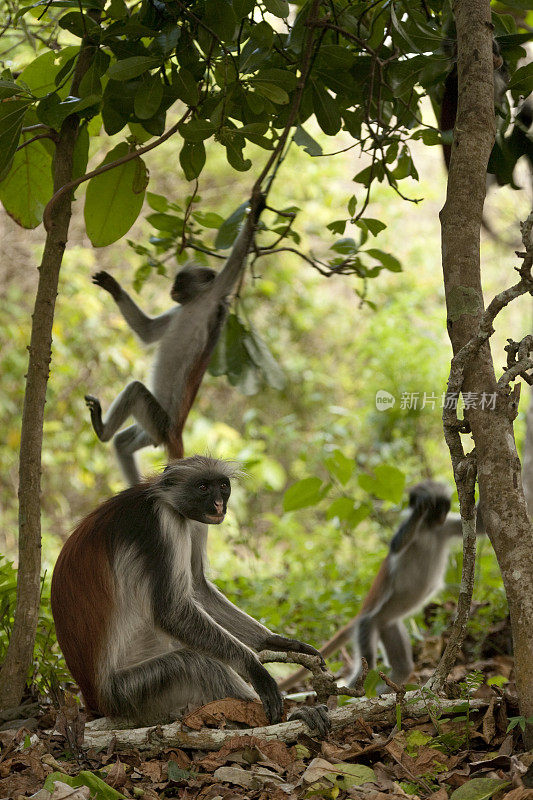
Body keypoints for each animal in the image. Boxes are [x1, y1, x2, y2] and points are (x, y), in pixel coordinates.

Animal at [52, 456, 330, 736]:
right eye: (203, 487)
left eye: (222, 486)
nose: (218, 504)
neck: (165, 499)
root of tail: (93, 699)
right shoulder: (162, 524)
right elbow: (171, 611)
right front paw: (254, 667)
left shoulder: (193, 521)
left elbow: (197, 586)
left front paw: (277, 642)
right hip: (128, 691)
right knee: (200, 663)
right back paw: (287, 718)